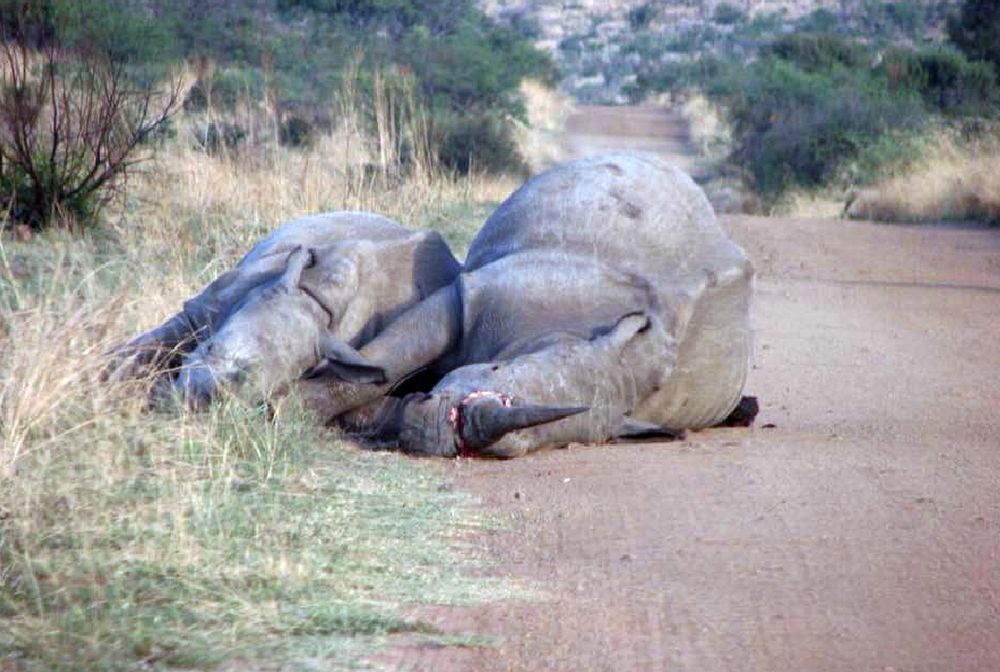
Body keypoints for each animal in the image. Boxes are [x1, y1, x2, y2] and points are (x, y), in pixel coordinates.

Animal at [111, 213, 462, 406]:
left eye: (260, 389)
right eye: (208, 348)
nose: (196, 399)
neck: (316, 301)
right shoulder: (202, 310)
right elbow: (146, 345)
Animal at [312, 152, 752, 456]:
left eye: (539, 439)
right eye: (495, 368)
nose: (451, 431)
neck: (555, 335)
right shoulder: (468, 298)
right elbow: (382, 362)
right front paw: (300, 412)